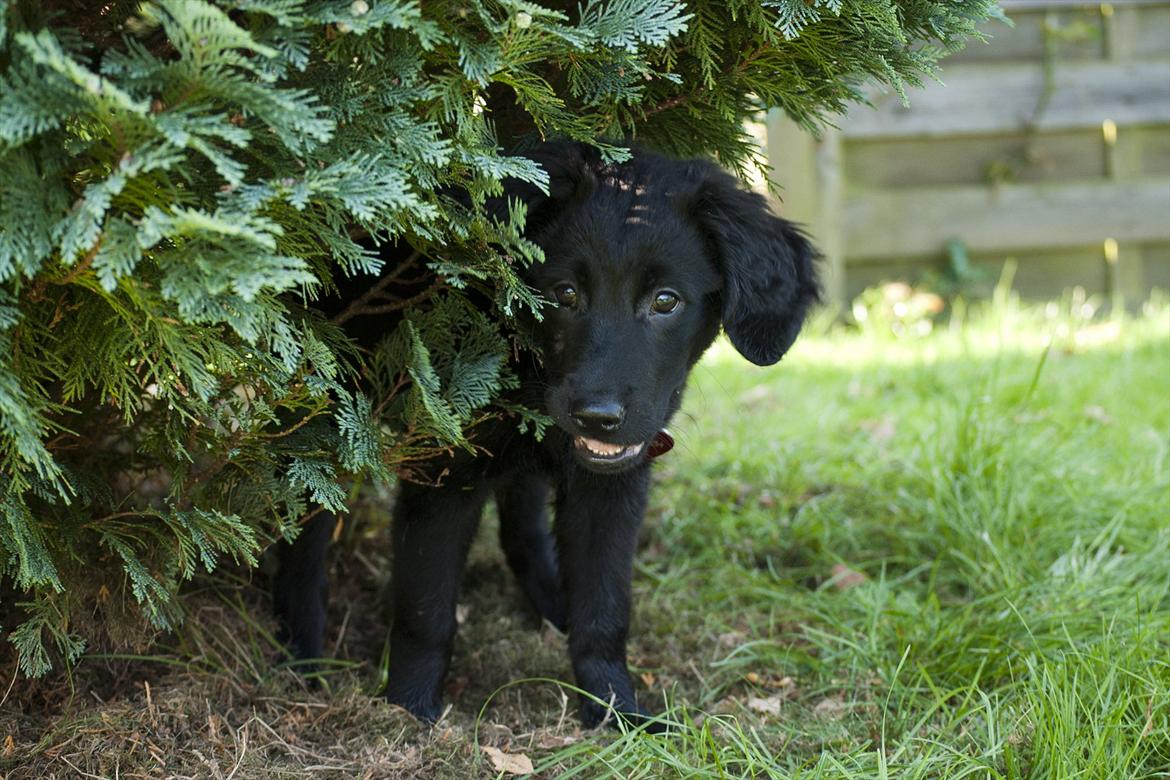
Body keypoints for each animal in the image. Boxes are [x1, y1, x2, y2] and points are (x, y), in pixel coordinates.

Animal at [274, 143, 823, 729]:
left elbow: (604, 609)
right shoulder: (443, 470)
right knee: (303, 537)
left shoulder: (613, 486)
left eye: (666, 300)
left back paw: (552, 604)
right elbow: (427, 610)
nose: (597, 416)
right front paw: (409, 711)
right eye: (564, 293)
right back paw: (302, 653)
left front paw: (615, 711)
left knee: (523, 521)